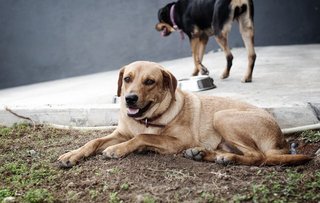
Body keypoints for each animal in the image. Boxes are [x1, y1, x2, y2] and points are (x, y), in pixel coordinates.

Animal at [58, 60, 310, 168]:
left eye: (149, 81)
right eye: (127, 78)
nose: (129, 98)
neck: (147, 119)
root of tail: (280, 141)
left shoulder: (178, 141)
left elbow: (142, 137)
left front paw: (118, 150)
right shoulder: (120, 133)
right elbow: (94, 140)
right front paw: (72, 154)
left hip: (223, 116)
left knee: (259, 156)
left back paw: (226, 158)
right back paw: (204, 154)